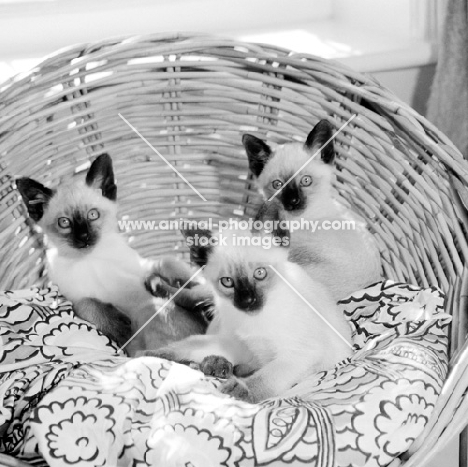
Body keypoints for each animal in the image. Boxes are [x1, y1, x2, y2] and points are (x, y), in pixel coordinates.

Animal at [16, 154, 210, 354]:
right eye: (64, 223)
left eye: (93, 215)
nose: (84, 237)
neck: (92, 258)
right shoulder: (70, 296)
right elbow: (85, 303)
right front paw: (119, 328)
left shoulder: (144, 267)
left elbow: (168, 263)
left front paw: (192, 282)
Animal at [141, 230, 352, 402]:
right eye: (228, 282)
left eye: (259, 274)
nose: (247, 300)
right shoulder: (238, 343)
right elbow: (188, 345)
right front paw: (152, 356)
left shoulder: (298, 354)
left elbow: (266, 378)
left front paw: (240, 389)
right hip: (209, 297)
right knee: (189, 295)